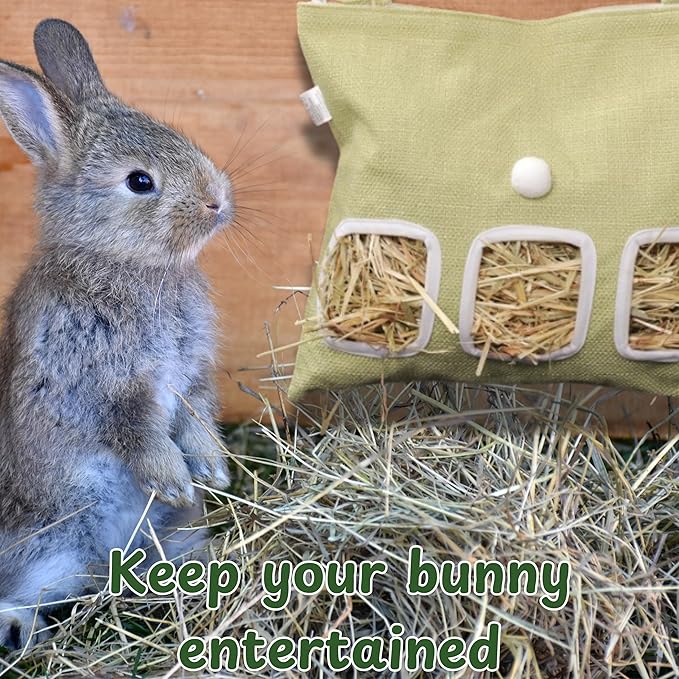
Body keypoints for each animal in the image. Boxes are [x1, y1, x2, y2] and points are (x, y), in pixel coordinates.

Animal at [0, 19, 234, 650]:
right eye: (140, 181)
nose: (218, 200)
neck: (123, 263)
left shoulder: (192, 380)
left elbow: (197, 421)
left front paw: (214, 473)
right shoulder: (104, 387)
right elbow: (139, 434)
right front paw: (176, 481)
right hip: (50, 543)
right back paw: (18, 628)